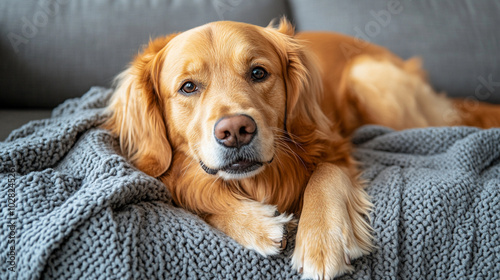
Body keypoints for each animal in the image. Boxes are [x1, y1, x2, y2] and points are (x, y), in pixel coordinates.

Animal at [102, 18, 500, 278]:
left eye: (258, 73)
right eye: (188, 87)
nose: (236, 131)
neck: (263, 178)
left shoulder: (334, 146)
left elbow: (325, 176)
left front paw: (321, 241)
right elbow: (199, 195)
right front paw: (255, 224)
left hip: (371, 79)